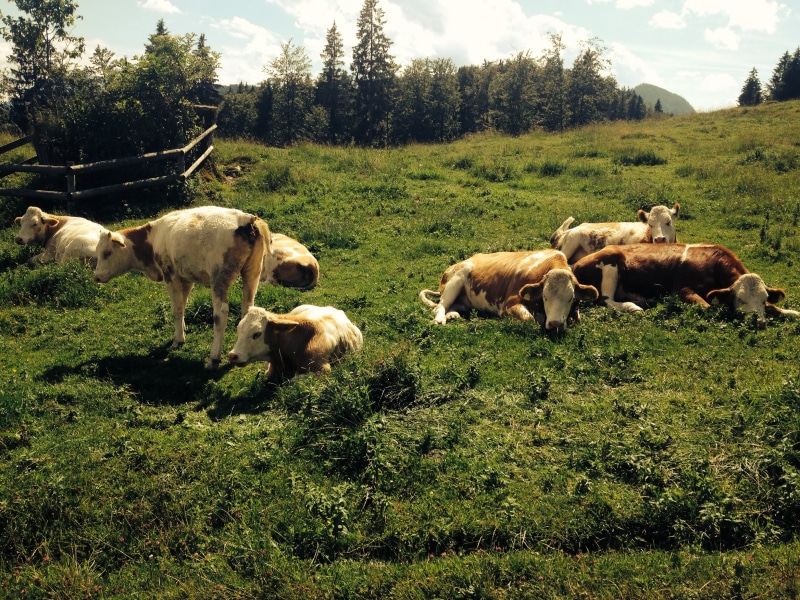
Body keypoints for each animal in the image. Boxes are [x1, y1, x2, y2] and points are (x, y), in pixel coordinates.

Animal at [93, 206, 271, 369]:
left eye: (107, 253)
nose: (96, 277)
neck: (153, 238)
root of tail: (246, 219)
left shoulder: (170, 276)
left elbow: (177, 309)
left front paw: (178, 339)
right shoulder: (186, 278)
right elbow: (183, 304)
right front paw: (183, 329)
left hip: (219, 277)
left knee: (220, 314)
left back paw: (214, 357)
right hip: (252, 271)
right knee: (247, 307)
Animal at [419, 249, 599, 332]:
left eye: (571, 298)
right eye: (545, 296)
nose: (555, 324)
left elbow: (577, 319)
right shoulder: (509, 304)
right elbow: (529, 319)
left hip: (465, 301)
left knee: (451, 306)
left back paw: (452, 315)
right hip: (457, 279)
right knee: (440, 305)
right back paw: (440, 319)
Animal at [571, 243, 800, 328]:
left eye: (763, 299)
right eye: (741, 299)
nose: (758, 322)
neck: (713, 263)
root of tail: (575, 264)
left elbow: (778, 309)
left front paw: (791, 312)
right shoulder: (681, 290)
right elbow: (707, 307)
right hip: (611, 264)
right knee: (605, 299)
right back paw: (632, 306)